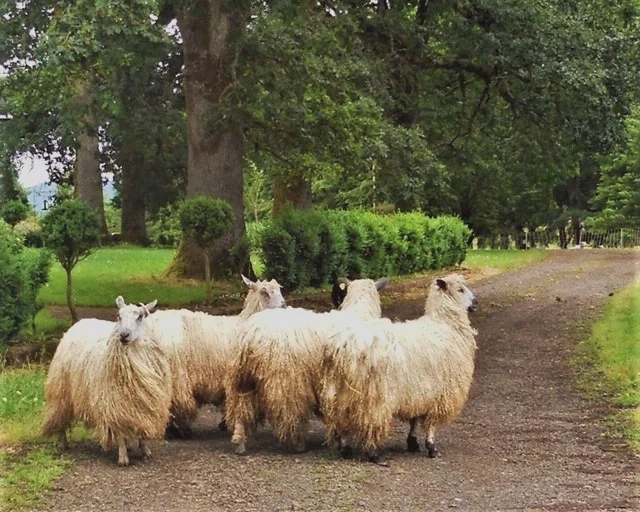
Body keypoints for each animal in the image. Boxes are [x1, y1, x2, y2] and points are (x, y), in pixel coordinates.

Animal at [42, 297, 171, 466]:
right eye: (118, 316)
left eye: (140, 316)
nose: (124, 335)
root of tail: (80, 322)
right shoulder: (113, 404)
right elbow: (120, 433)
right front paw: (123, 457)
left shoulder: (143, 405)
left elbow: (141, 429)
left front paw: (145, 450)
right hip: (61, 391)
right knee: (59, 417)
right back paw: (63, 443)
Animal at [150, 275, 286, 437]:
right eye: (264, 292)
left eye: (279, 289)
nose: (284, 306)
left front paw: (224, 423)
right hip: (175, 375)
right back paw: (178, 431)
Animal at [225, 277, 388, 455]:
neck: (360, 312)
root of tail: (251, 334)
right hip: (287, 381)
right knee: (289, 413)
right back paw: (298, 443)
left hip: (242, 379)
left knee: (241, 410)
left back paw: (239, 442)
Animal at [320, 274, 478, 463]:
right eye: (460, 289)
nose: (476, 302)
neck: (444, 324)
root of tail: (343, 345)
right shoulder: (439, 393)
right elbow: (430, 424)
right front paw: (431, 447)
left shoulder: (418, 392)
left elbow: (414, 419)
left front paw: (413, 442)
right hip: (375, 395)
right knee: (372, 420)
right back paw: (374, 454)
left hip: (339, 391)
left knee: (341, 418)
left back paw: (346, 449)